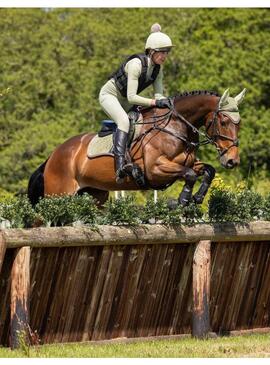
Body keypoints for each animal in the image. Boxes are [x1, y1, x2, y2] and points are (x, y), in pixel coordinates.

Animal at [28, 88, 247, 206]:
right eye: (224, 121)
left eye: (239, 123)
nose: (232, 161)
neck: (175, 127)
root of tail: (52, 157)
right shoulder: (155, 170)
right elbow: (190, 175)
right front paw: (182, 201)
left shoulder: (187, 163)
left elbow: (208, 170)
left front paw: (197, 198)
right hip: (59, 195)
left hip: (95, 195)